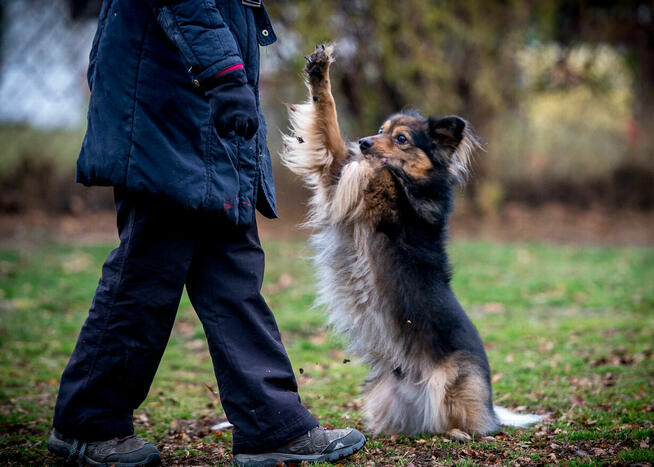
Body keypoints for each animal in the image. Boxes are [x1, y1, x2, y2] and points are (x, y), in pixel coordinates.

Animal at [282, 44, 544, 438]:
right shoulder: (334, 172)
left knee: (468, 422)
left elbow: (381, 170)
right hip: (382, 393)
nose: (364, 142)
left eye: (401, 139)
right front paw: (319, 74)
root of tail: (491, 409)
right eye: (380, 130)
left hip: (455, 380)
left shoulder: (385, 198)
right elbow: (329, 127)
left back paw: (459, 432)